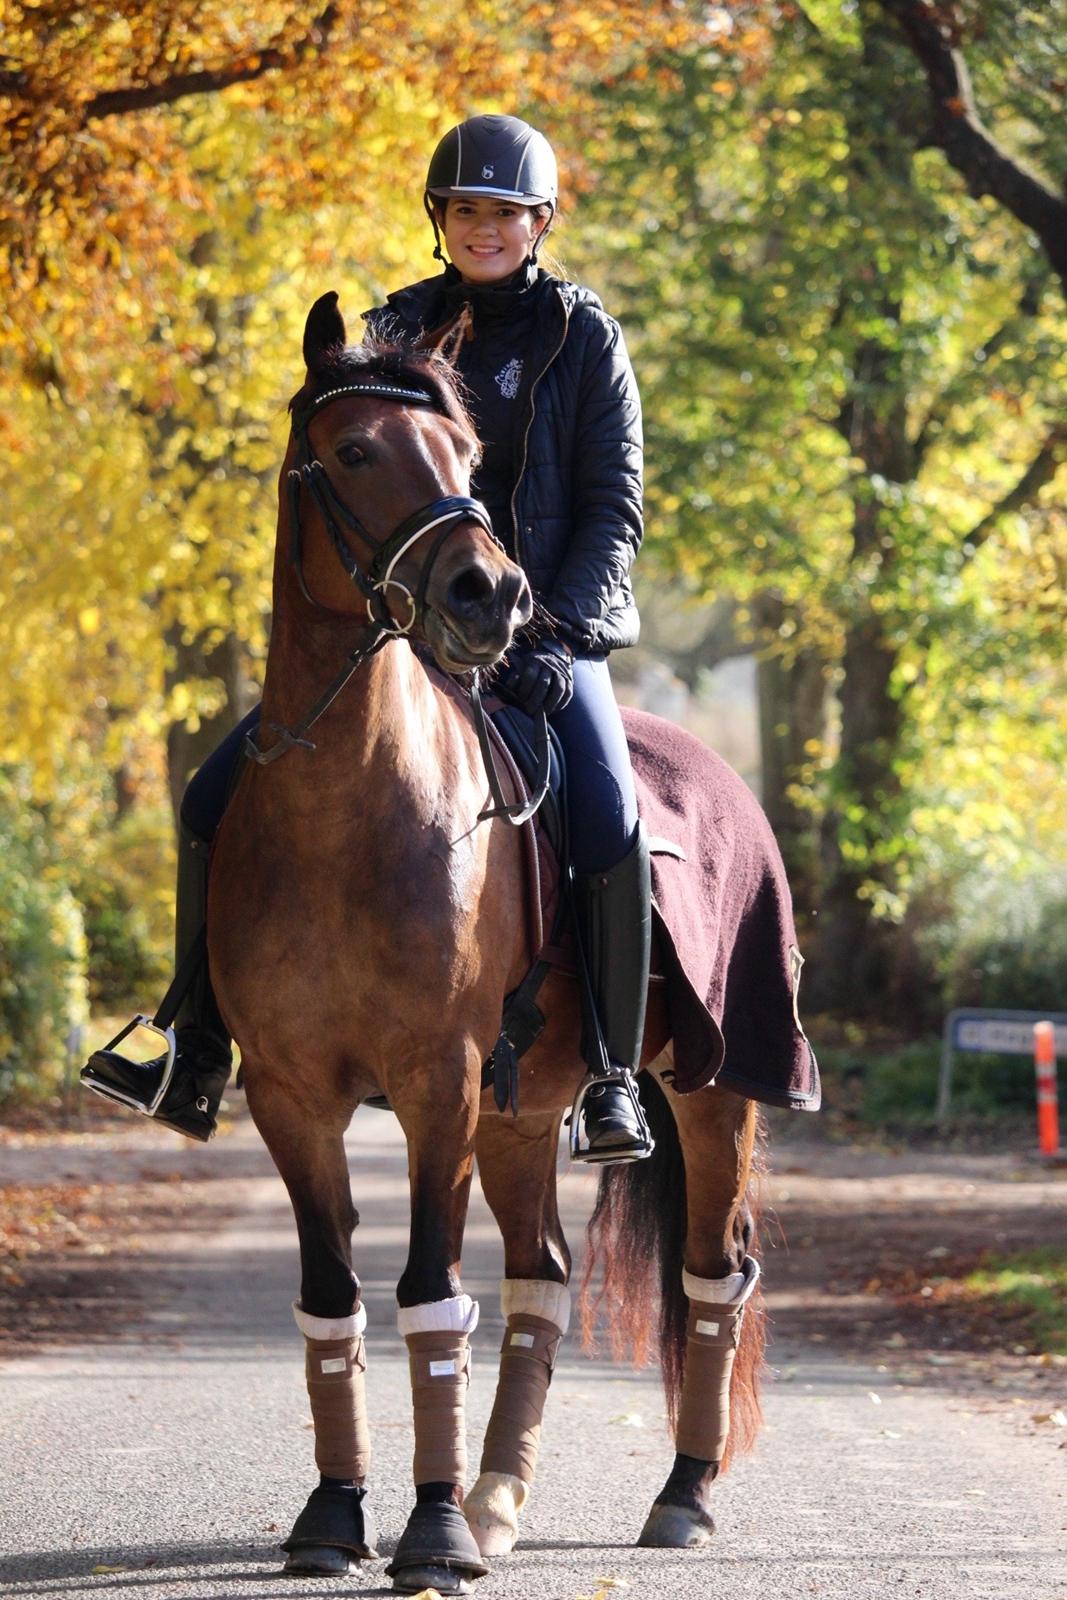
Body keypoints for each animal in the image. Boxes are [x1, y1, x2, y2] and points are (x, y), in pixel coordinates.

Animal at [207, 294, 771, 1593]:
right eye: (354, 449)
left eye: (466, 459)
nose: (490, 597)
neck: (346, 808)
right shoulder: (291, 1096)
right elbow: (330, 1297)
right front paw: (337, 1511)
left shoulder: (437, 1087)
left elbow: (426, 1292)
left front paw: (429, 1532)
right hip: (523, 1112)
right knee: (541, 1279)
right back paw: (499, 1494)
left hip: (709, 1088)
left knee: (711, 1271)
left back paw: (682, 1493)